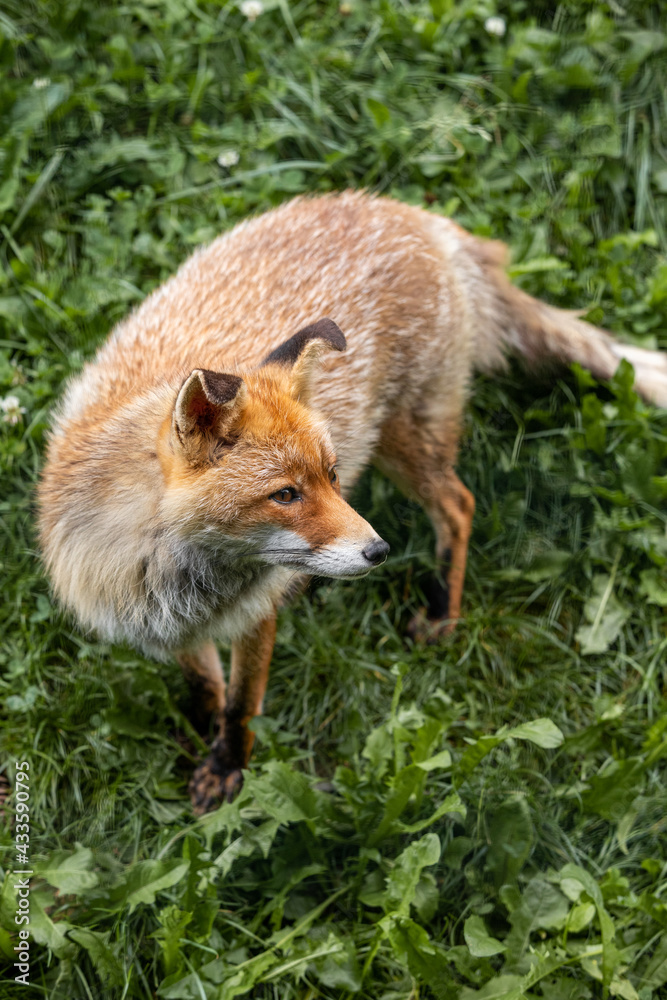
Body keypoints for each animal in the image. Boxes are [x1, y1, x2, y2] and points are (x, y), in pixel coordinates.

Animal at [38, 190, 667, 813]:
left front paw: (227, 769)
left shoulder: (256, 615)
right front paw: (202, 732)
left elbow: (242, 706)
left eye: (333, 476)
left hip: (406, 440)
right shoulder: (161, 621)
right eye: (285, 495)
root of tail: (414, 215)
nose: (378, 551)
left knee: (458, 505)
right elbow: (205, 685)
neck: (180, 576)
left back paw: (442, 615)